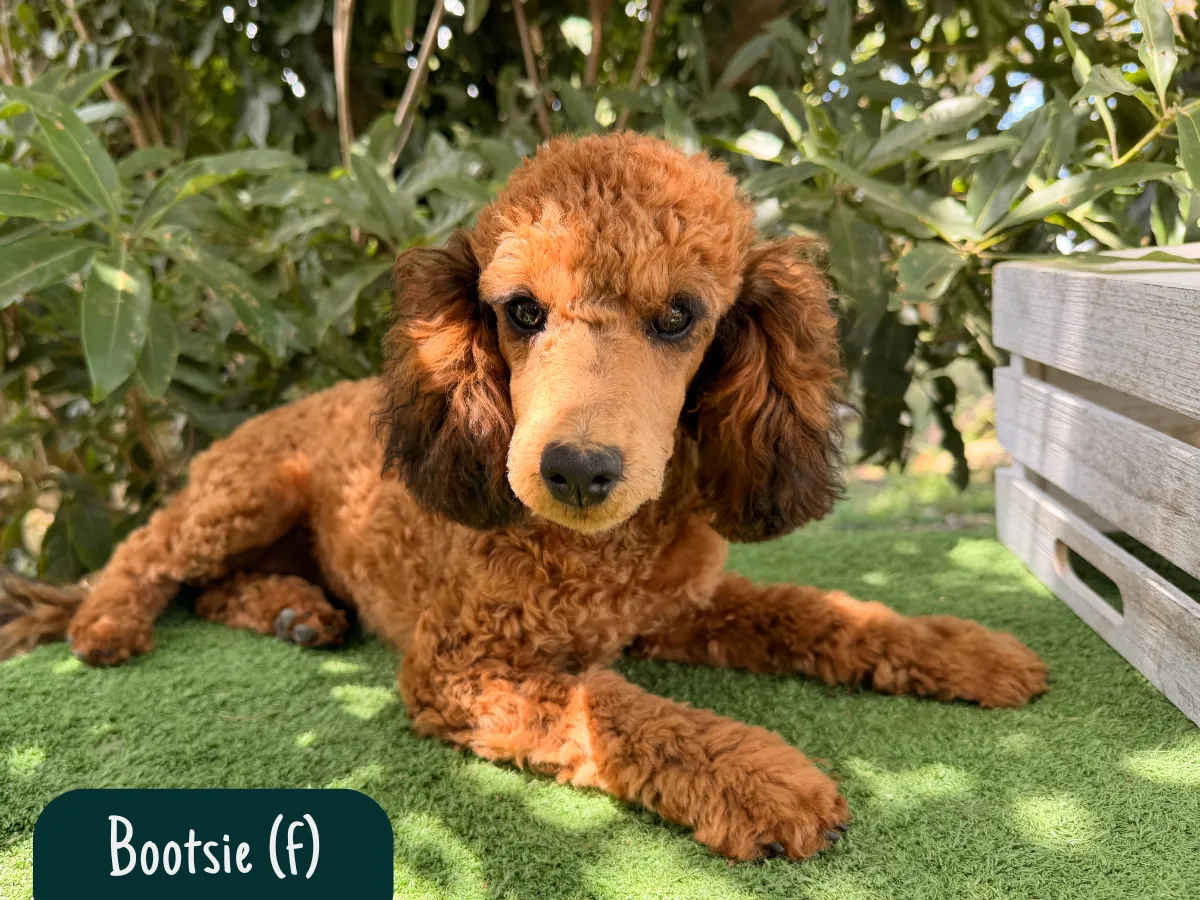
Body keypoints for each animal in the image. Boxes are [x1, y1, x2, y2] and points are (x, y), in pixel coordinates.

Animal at [0, 133, 1047, 861]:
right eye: (521, 312)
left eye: (681, 316)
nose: (576, 470)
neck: (602, 558)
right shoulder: (463, 670)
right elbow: (624, 713)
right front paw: (765, 779)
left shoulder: (684, 607)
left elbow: (819, 614)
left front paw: (965, 651)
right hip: (248, 491)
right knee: (148, 552)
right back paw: (107, 625)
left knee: (219, 586)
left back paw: (295, 610)